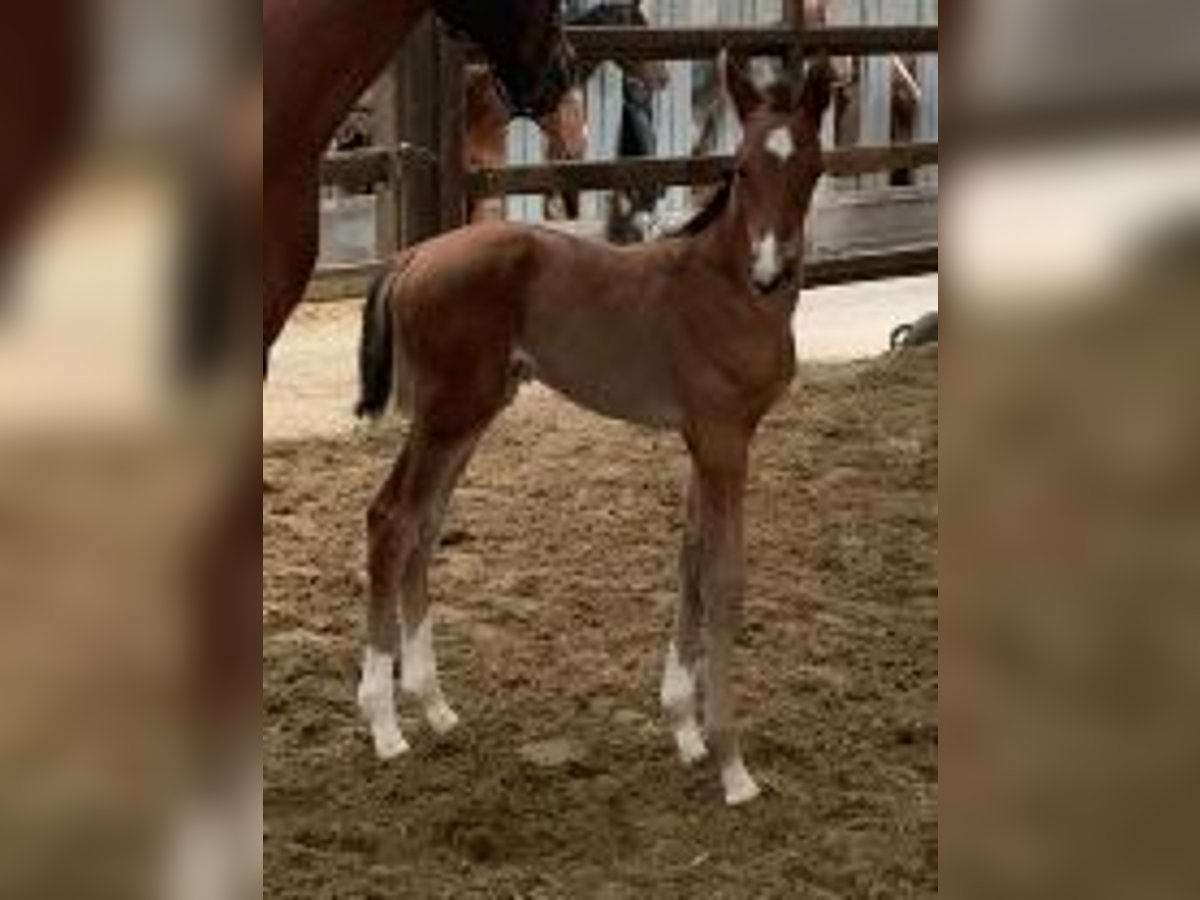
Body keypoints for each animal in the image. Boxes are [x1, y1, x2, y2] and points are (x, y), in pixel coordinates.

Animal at [350, 52, 830, 806]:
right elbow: (724, 576)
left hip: (471, 412)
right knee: (392, 518)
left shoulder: (704, 441)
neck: (727, 289)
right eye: (742, 168)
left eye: (812, 167)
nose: (770, 268)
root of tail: (413, 257)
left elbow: (690, 558)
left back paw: (433, 705)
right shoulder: (726, 439)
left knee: (424, 523)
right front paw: (732, 764)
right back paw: (384, 724)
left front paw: (684, 729)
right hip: (447, 411)